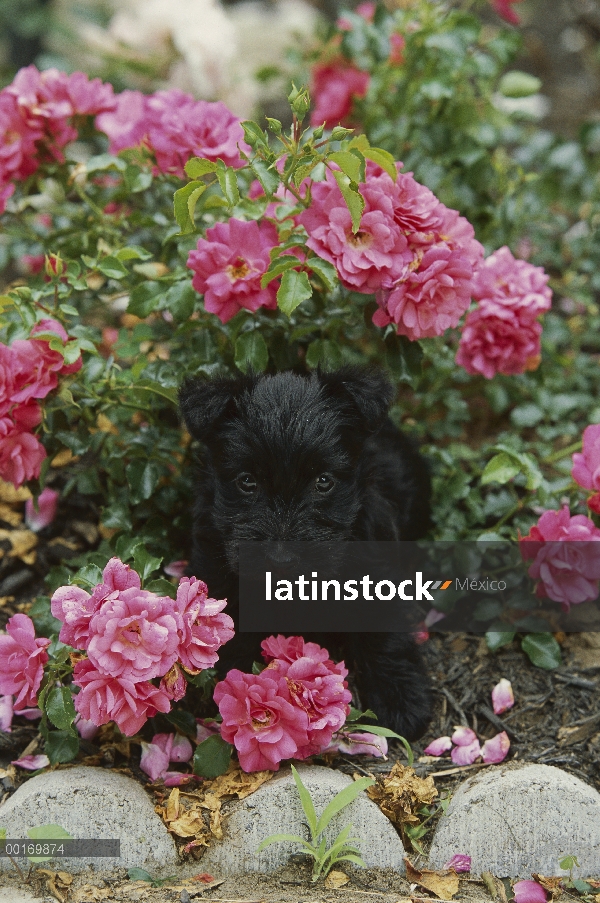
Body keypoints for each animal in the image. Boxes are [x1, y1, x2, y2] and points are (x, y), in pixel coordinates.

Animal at [178, 368, 432, 740]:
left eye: (323, 481)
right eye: (247, 481)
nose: (282, 560)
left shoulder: (377, 570)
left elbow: (386, 634)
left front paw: (402, 697)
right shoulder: (218, 570)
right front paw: (236, 693)